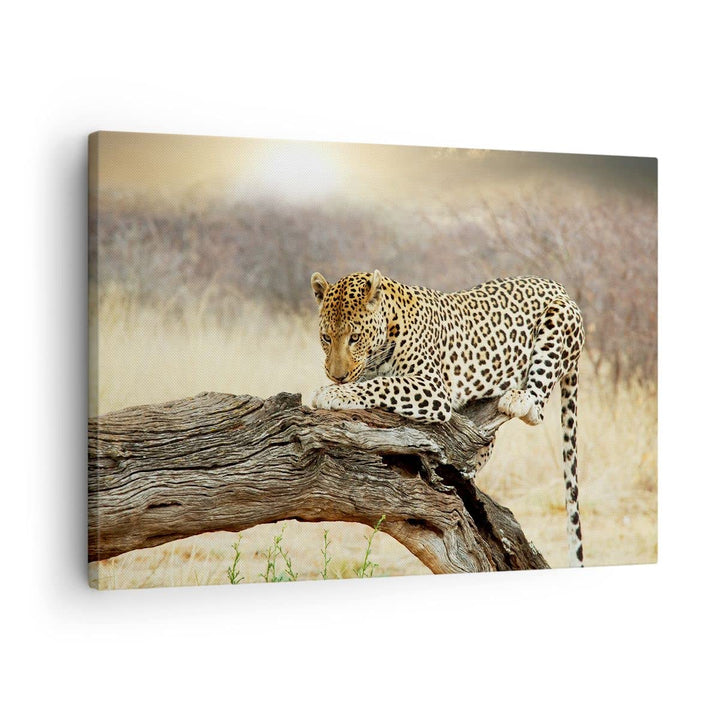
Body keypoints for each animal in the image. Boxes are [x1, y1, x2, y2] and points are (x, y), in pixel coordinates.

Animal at [309, 269, 586, 567]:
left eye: (355, 337)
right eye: (326, 338)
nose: (337, 376)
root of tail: (559, 286)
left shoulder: (431, 387)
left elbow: (382, 385)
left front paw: (331, 393)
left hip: (558, 319)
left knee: (537, 408)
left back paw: (519, 399)